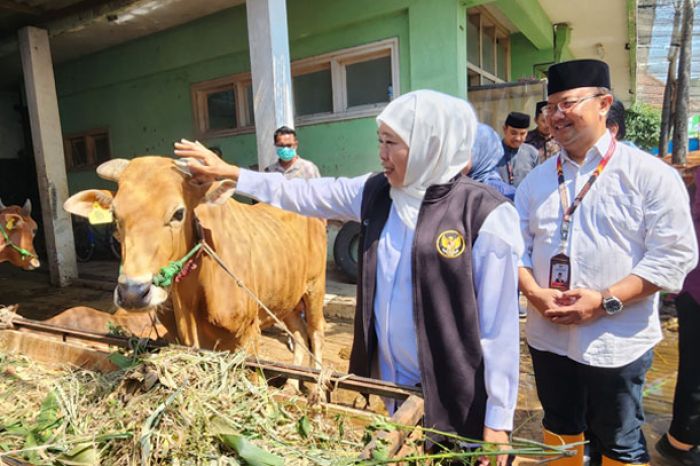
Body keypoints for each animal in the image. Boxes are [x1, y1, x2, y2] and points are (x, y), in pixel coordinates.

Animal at [63, 157, 326, 368]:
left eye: (178, 213)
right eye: (115, 216)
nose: (133, 294)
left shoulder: (248, 335)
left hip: (315, 288)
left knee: (315, 331)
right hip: (288, 299)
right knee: (299, 332)